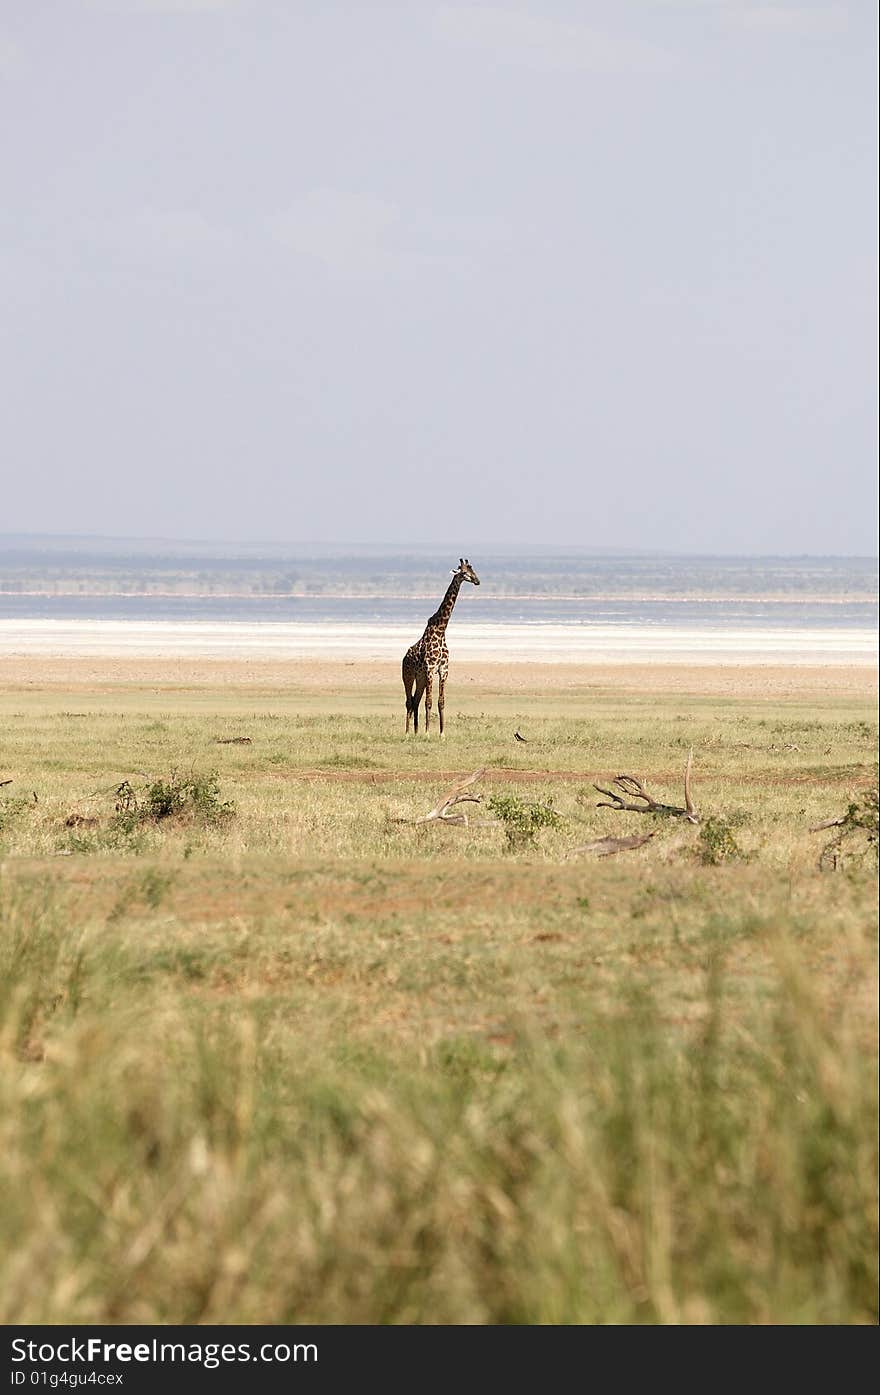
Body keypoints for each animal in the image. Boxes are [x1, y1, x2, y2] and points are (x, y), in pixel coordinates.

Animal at [401, 555, 479, 736]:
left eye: (473, 570)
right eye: (464, 572)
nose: (477, 581)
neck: (441, 629)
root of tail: (404, 657)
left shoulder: (443, 670)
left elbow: (440, 701)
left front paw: (441, 733)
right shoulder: (430, 669)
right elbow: (429, 701)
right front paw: (428, 733)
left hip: (420, 678)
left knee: (415, 700)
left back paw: (415, 732)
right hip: (408, 675)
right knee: (409, 701)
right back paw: (407, 732)